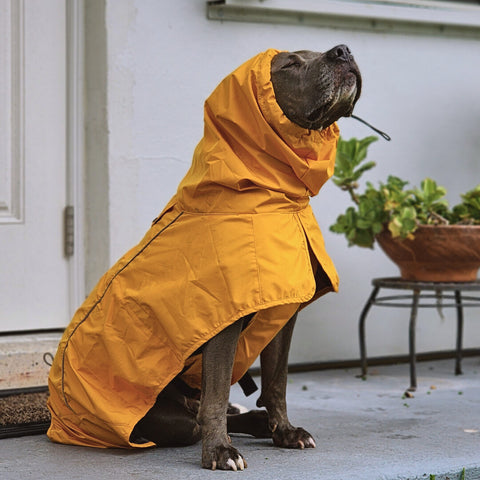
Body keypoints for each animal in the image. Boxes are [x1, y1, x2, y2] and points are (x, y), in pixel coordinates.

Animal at [47, 46, 360, 472]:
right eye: (291, 64)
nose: (343, 50)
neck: (276, 199)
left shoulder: (282, 316)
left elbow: (276, 382)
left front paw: (284, 430)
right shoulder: (223, 319)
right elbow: (216, 397)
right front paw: (220, 451)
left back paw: (260, 421)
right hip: (168, 416)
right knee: (196, 417)